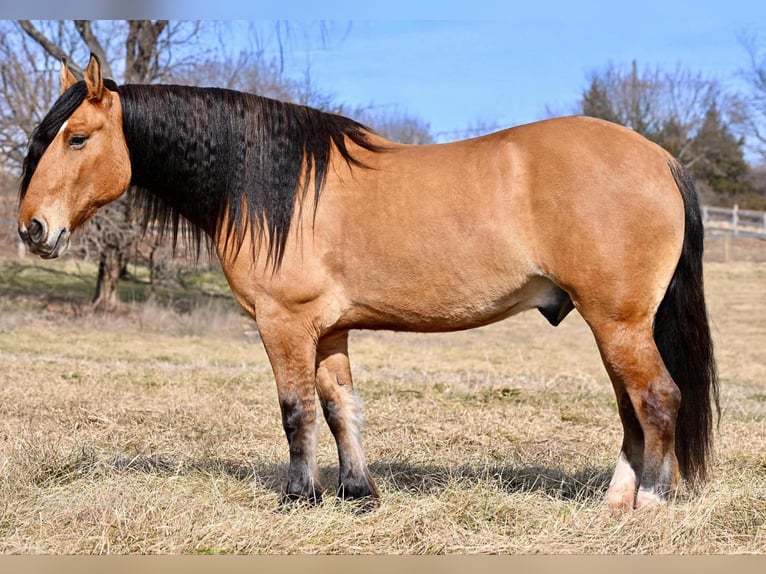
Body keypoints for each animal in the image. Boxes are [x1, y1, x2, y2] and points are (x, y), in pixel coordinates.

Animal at [16, 54, 720, 512]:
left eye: (77, 137)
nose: (32, 228)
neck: (274, 188)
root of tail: (659, 157)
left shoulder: (284, 323)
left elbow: (296, 410)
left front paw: (299, 497)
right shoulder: (329, 331)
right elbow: (340, 409)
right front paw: (358, 493)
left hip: (619, 322)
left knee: (658, 398)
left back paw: (650, 504)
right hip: (612, 325)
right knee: (632, 408)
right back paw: (615, 502)